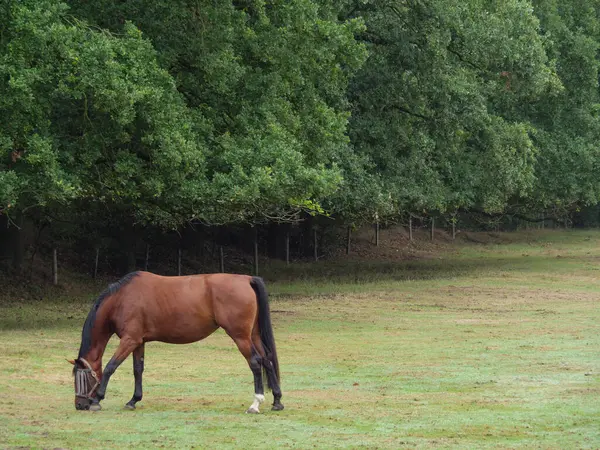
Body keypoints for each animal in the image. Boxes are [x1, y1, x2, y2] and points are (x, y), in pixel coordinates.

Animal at [69, 270, 284, 414]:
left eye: (81, 378)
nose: (79, 405)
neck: (122, 299)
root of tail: (246, 279)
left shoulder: (129, 340)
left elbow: (110, 367)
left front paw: (97, 399)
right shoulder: (139, 342)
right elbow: (138, 370)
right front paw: (133, 400)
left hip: (241, 337)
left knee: (255, 363)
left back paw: (255, 403)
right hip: (253, 335)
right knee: (267, 360)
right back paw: (277, 401)